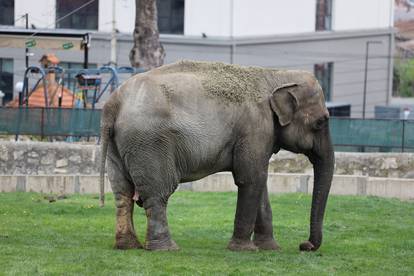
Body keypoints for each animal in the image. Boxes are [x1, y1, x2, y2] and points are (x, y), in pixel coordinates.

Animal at [100, 61, 336, 252]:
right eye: (321, 122)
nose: (305, 245)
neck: (275, 75)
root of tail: (113, 104)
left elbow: (260, 181)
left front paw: (270, 249)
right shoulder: (255, 128)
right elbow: (251, 179)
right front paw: (244, 250)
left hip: (119, 146)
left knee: (122, 193)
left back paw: (128, 246)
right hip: (149, 143)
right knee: (158, 194)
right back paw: (166, 249)